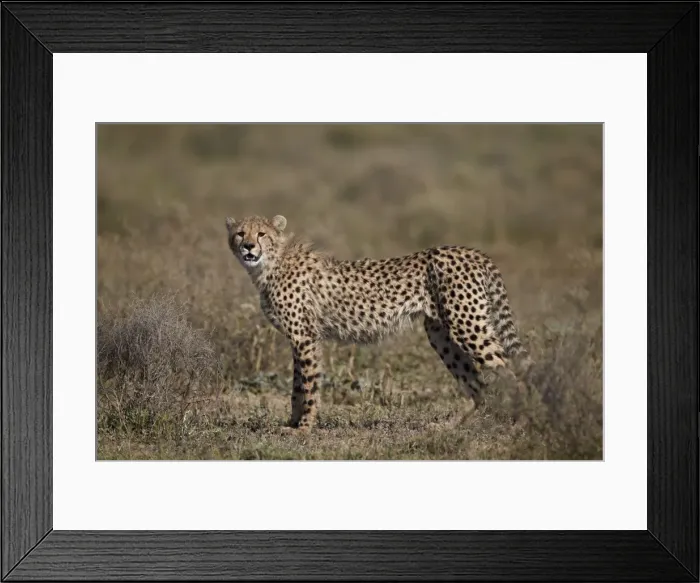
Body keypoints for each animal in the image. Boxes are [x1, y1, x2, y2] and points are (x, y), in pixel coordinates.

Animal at [226, 214, 533, 433]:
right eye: (240, 233)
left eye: (261, 233)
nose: (248, 246)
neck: (270, 264)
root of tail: (472, 251)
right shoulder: (299, 340)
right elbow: (296, 386)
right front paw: (292, 423)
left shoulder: (305, 338)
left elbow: (308, 386)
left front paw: (303, 428)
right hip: (441, 334)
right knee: (477, 384)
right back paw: (452, 426)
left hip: (467, 325)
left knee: (510, 372)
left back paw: (519, 423)